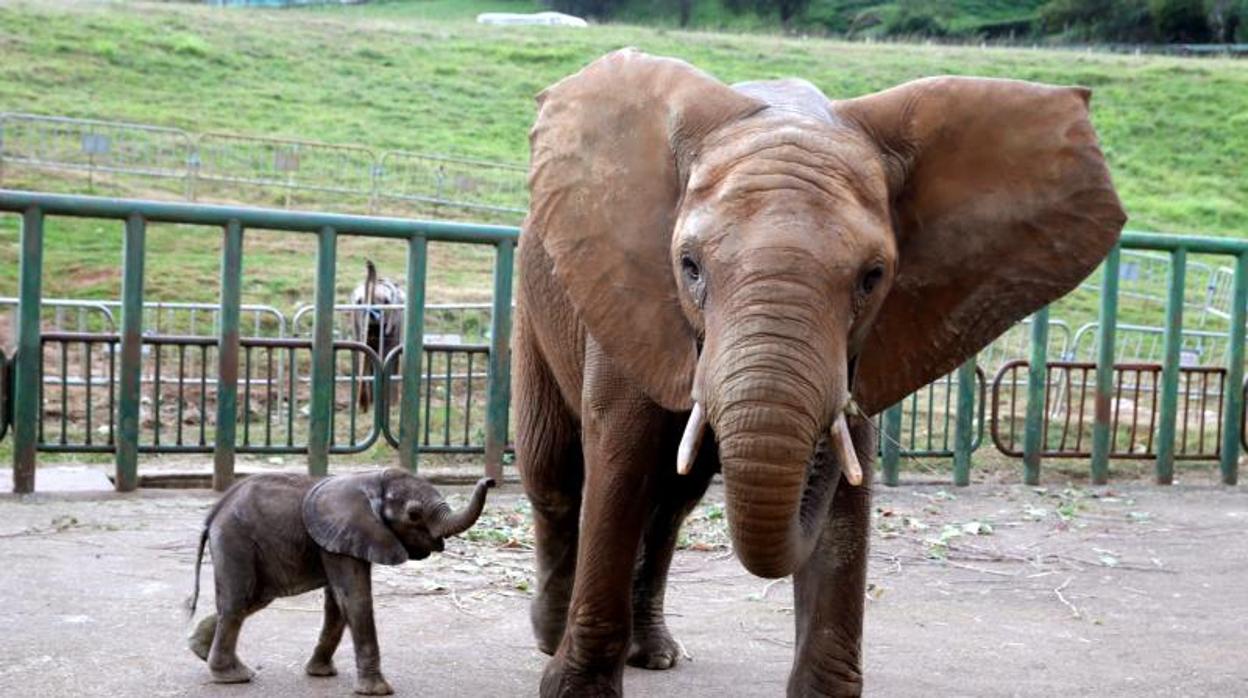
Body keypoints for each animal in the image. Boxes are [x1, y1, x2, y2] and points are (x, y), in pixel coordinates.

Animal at [187, 469, 494, 694]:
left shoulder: (341, 539)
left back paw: (200, 650)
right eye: (414, 514)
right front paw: (377, 691)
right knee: (238, 602)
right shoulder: (346, 534)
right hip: (235, 538)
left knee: (252, 599)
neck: (372, 481)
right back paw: (233, 676)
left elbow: (337, 603)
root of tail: (213, 513)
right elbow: (355, 598)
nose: (490, 480)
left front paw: (320, 673)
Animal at [511, 50, 1128, 698]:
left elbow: (845, 497)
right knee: (555, 473)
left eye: (873, 277)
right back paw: (552, 634)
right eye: (689, 266)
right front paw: (573, 691)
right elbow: (620, 461)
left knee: (673, 502)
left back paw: (654, 653)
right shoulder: (632, 295)